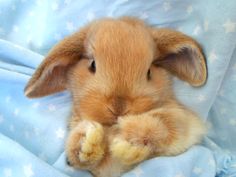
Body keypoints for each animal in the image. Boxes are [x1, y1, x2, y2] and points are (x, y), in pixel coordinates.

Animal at [24, 17, 207, 177]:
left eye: (149, 72)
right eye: (92, 65)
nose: (119, 108)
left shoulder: (182, 121)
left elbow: (165, 124)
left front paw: (129, 135)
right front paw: (88, 141)